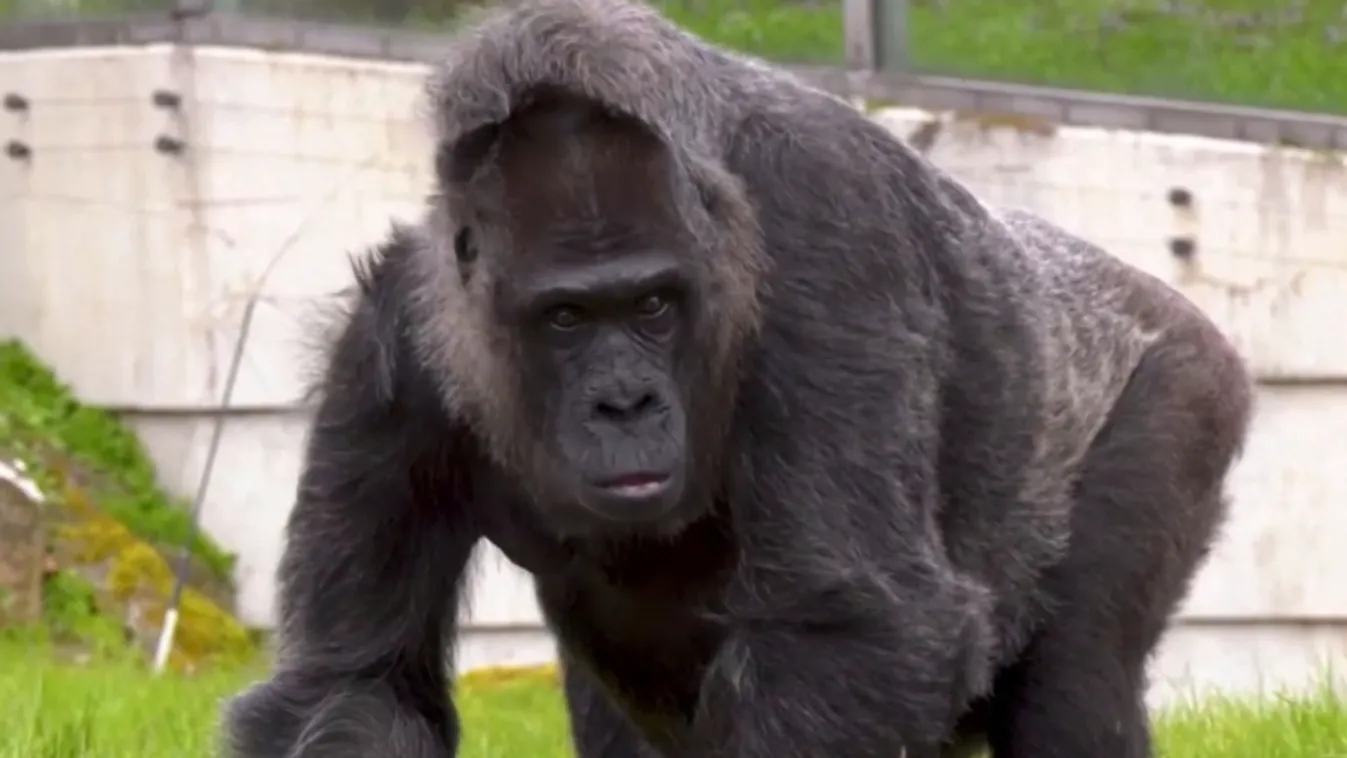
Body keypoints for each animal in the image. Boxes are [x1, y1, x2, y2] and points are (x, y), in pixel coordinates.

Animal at [219, 1, 1255, 757]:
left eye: (652, 306)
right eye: (565, 318)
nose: (624, 403)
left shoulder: (826, 244)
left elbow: (854, 630)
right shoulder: (387, 354)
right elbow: (355, 686)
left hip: (1181, 381)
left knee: (1073, 684)